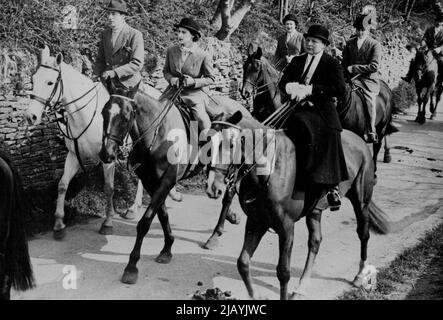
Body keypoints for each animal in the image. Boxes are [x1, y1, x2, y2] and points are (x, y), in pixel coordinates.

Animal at [24, 46, 179, 239]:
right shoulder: (73, 155)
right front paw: (59, 224)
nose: (31, 116)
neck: (84, 114)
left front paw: (107, 222)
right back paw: (136, 206)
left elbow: (109, 188)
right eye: (33, 79)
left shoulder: (108, 158)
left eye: (50, 83)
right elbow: (62, 185)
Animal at [100, 84, 251, 284]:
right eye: (103, 112)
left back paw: (215, 235)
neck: (160, 135)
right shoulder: (151, 181)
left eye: (125, 117)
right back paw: (231, 216)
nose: (106, 154)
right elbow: (162, 214)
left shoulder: (167, 180)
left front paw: (131, 267)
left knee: (228, 195)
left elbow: (145, 222)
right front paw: (167, 248)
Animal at [206, 110, 390, 300]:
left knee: (363, 233)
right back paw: (302, 286)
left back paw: (361, 274)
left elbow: (283, 272)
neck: (270, 171)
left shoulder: (286, 227)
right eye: (207, 141)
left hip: (361, 201)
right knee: (315, 241)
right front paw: (256, 297)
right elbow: (242, 262)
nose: (213, 187)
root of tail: (360, 141)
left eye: (230, 144)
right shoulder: (256, 222)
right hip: (315, 210)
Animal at [243, 43, 398, 176]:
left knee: (377, 145)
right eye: (244, 67)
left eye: (256, 67)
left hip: (381, 128)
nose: (244, 92)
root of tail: (386, 87)